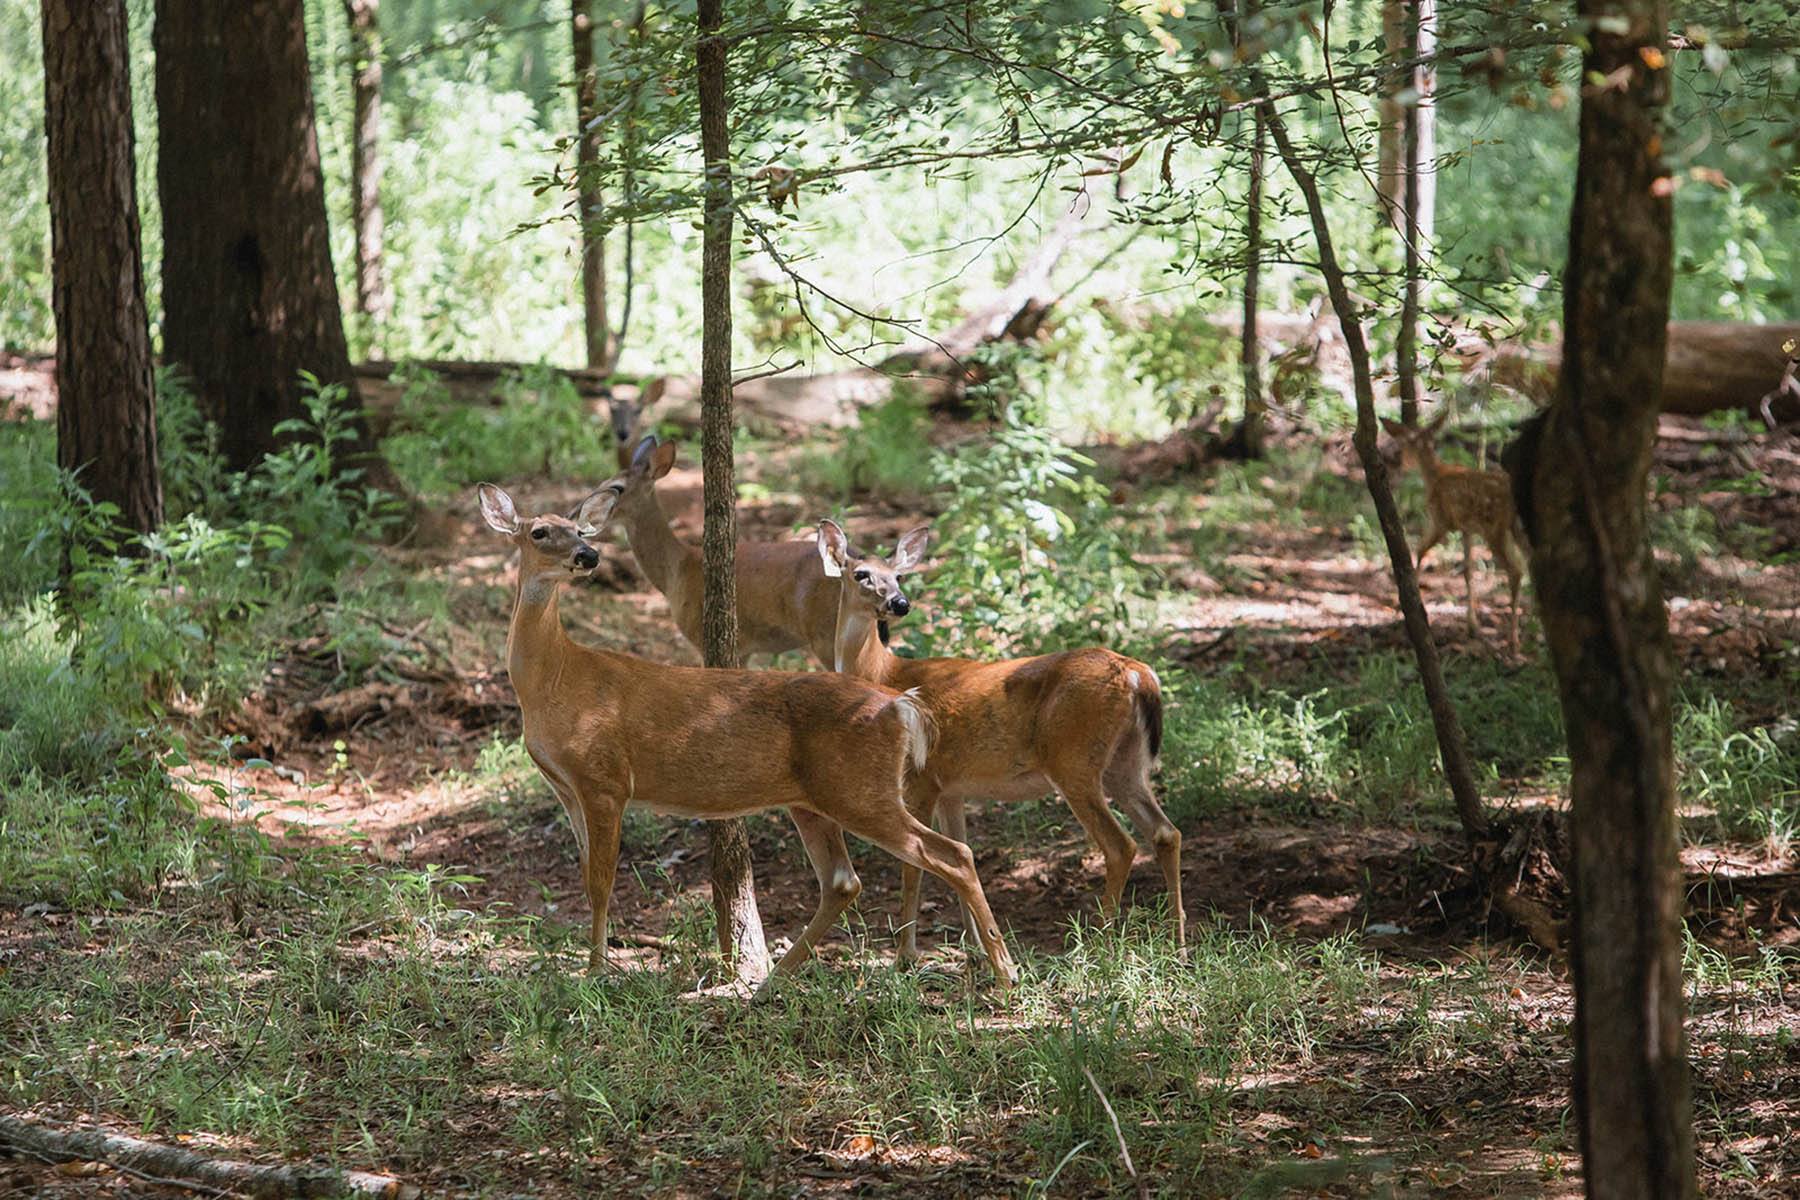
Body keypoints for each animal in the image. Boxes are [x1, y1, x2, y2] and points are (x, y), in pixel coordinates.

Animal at [471, 482, 1022, 993]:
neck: (556, 680)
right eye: (540, 531)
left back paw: (1005, 972)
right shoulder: (566, 786)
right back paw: (770, 982)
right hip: (814, 798)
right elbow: (588, 875)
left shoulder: (604, 778)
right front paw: (593, 967)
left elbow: (602, 880)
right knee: (845, 881)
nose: (588, 556)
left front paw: (596, 972)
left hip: (862, 790)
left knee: (952, 854)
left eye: (580, 530)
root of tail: (898, 704)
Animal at [604, 437, 842, 665]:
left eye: (618, 487)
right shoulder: (745, 649)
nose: (590, 505)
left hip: (826, 634)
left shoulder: (703, 634)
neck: (676, 571)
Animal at [813, 521, 1180, 964]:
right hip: (1124, 763)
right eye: (861, 574)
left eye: (898, 576)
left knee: (1121, 845)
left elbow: (914, 867)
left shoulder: (919, 778)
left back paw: (1097, 945)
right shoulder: (950, 787)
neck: (883, 674)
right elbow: (959, 852)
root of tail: (1137, 673)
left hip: (1073, 760)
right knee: (1166, 833)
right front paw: (976, 949)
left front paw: (905, 957)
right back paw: (1178, 942)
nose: (900, 603)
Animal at [1382, 413, 1526, 658]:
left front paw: (1409, 603)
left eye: (1404, 443)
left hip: (1495, 529)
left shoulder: (1442, 521)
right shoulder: (1466, 528)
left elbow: (1420, 550)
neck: (1435, 475)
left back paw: (1513, 643)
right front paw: (1472, 626)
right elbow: (1468, 570)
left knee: (1515, 570)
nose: (1400, 462)